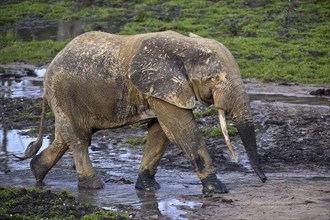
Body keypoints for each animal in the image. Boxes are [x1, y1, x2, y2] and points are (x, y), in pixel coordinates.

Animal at [16, 30, 268, 194]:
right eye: (215, 79)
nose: (264, 179)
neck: (185, 46)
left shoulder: (160, 90)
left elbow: (161, 131)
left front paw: (147, 187)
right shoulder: (162, 86)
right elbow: (181, 129)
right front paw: (218, 189)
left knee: (66, 137)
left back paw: (37, 172)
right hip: (63, 93)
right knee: (79, 139)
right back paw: (94, 186)